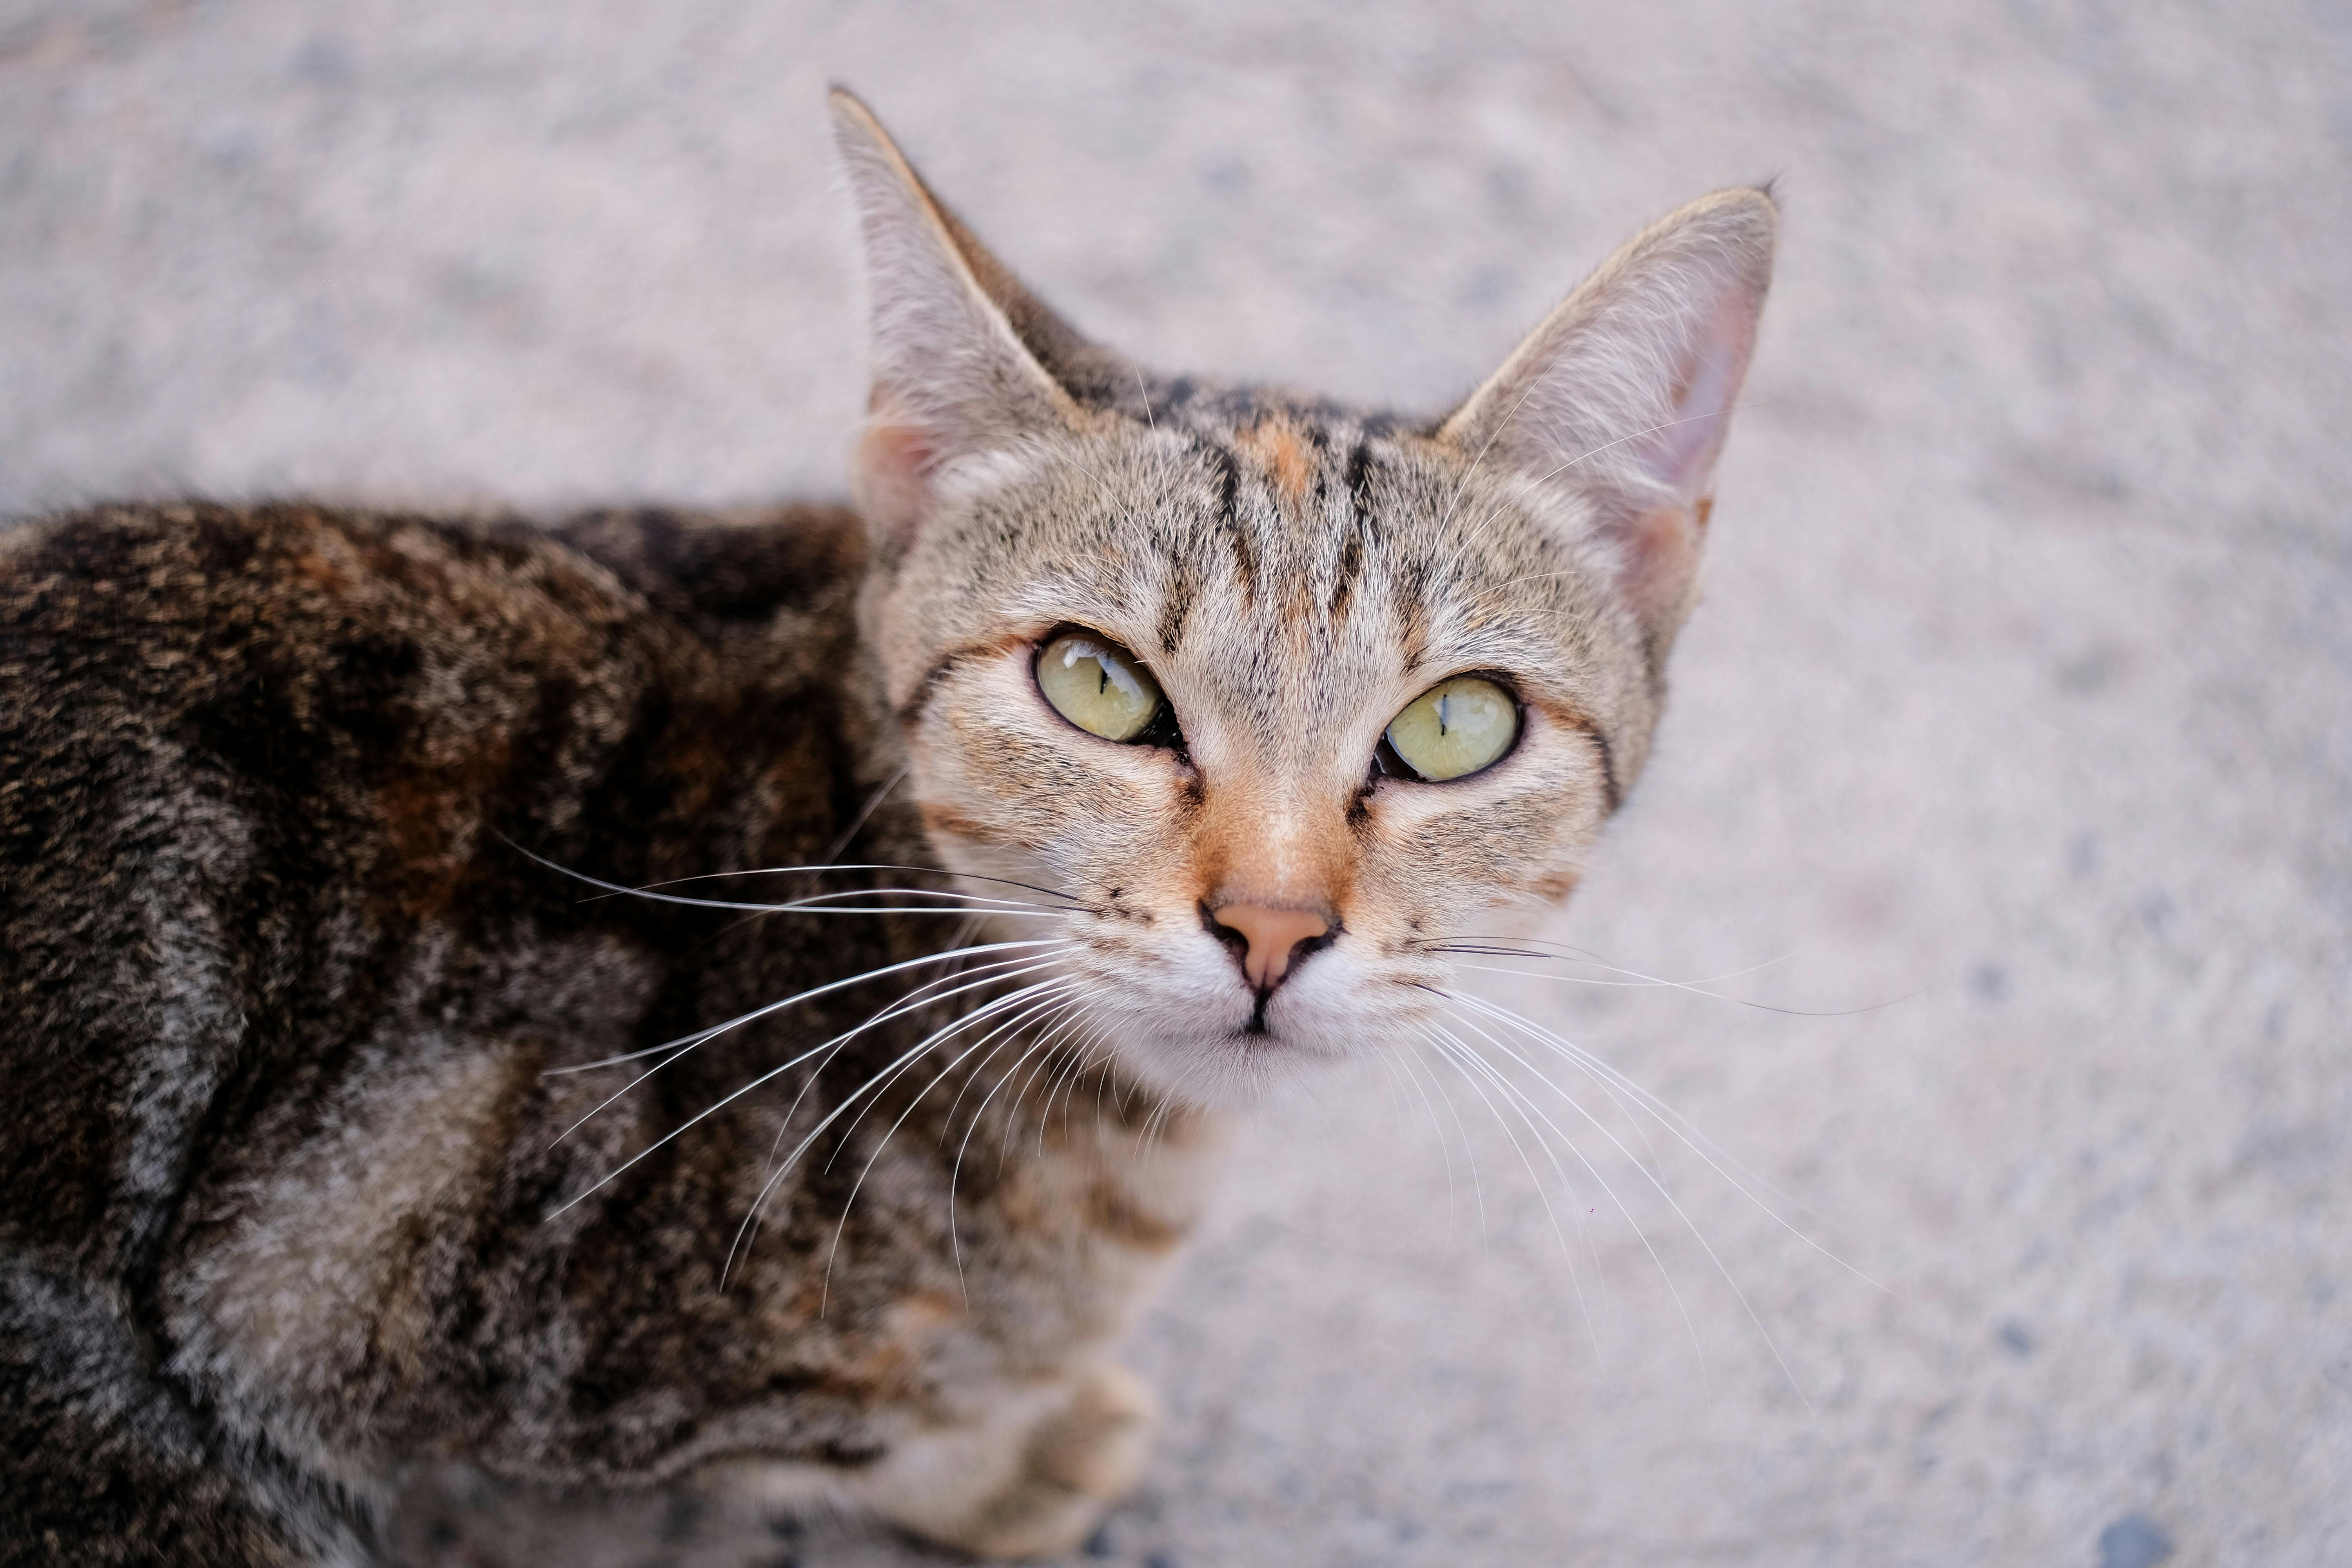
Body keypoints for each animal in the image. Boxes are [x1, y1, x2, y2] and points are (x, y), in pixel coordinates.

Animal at [0, 89, 1769, 1568]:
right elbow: (831, 1441)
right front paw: (1013, 1455)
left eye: (1455, 726)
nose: (1271, 925)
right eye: (1098, 686)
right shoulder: (412, 1321)